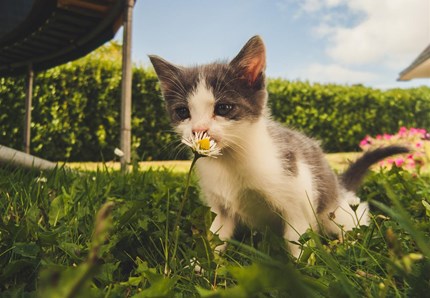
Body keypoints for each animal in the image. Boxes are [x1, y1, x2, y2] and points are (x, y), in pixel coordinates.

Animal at [149, 36, 408, 258]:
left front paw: (304, 271)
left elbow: (297, 239)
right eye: (183, 112)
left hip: (334, 209)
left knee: (353, 214)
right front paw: (199, 266)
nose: (199, 130)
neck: (231, 160)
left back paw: (350, 242)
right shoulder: (221, 207)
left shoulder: (298, 195)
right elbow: (215, 236)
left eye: (223, 108)